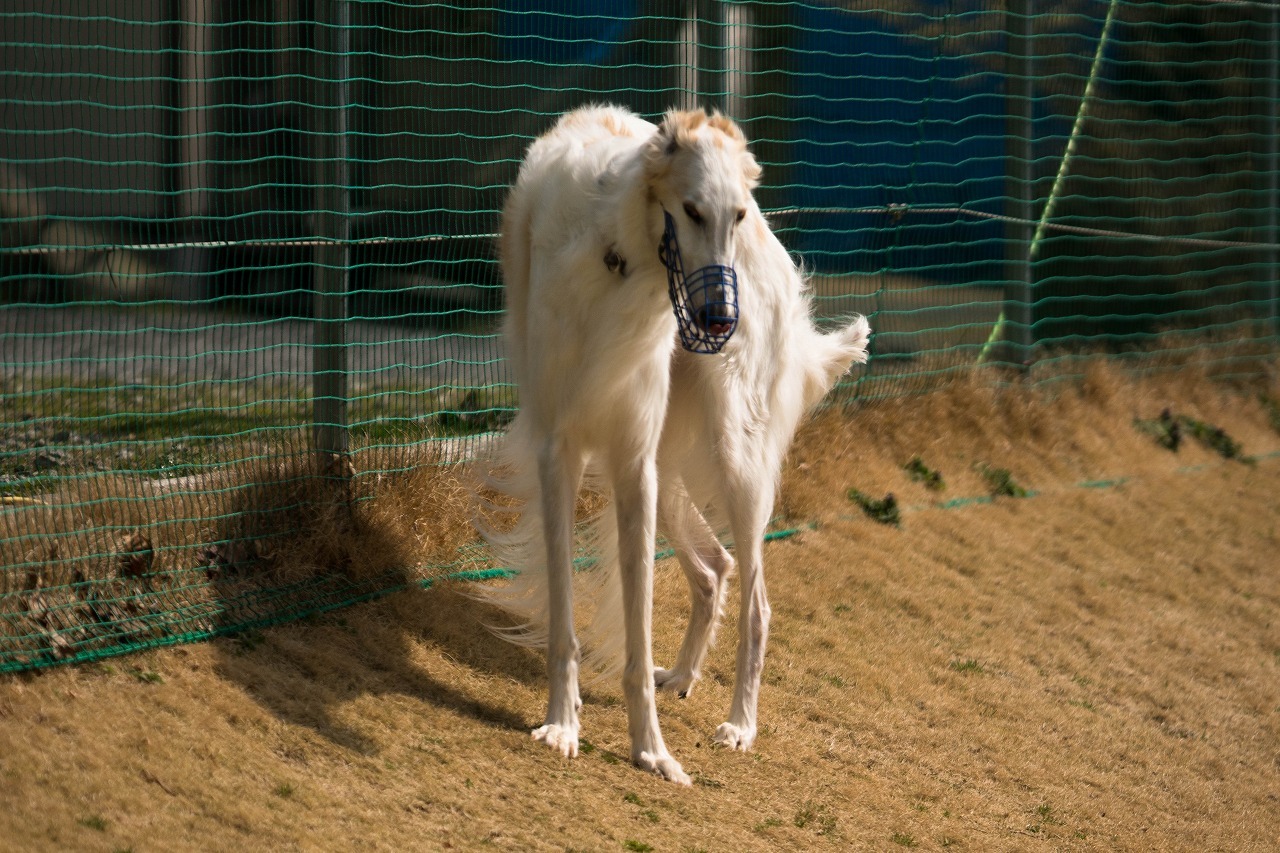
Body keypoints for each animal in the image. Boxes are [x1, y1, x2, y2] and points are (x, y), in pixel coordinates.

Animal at [476, 106, 875, 783]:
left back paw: (742, 724)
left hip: (736, 457)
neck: (617, 255)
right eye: (690, 210)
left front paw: (651, 750)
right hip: (670, 465)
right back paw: (685, 675)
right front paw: (564, 724)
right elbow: (566, 616)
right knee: (715, 567)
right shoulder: (565, 447)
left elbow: (638, 629)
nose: (720, 321)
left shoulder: (633, 455)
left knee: (757, 603)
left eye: (735, 215)